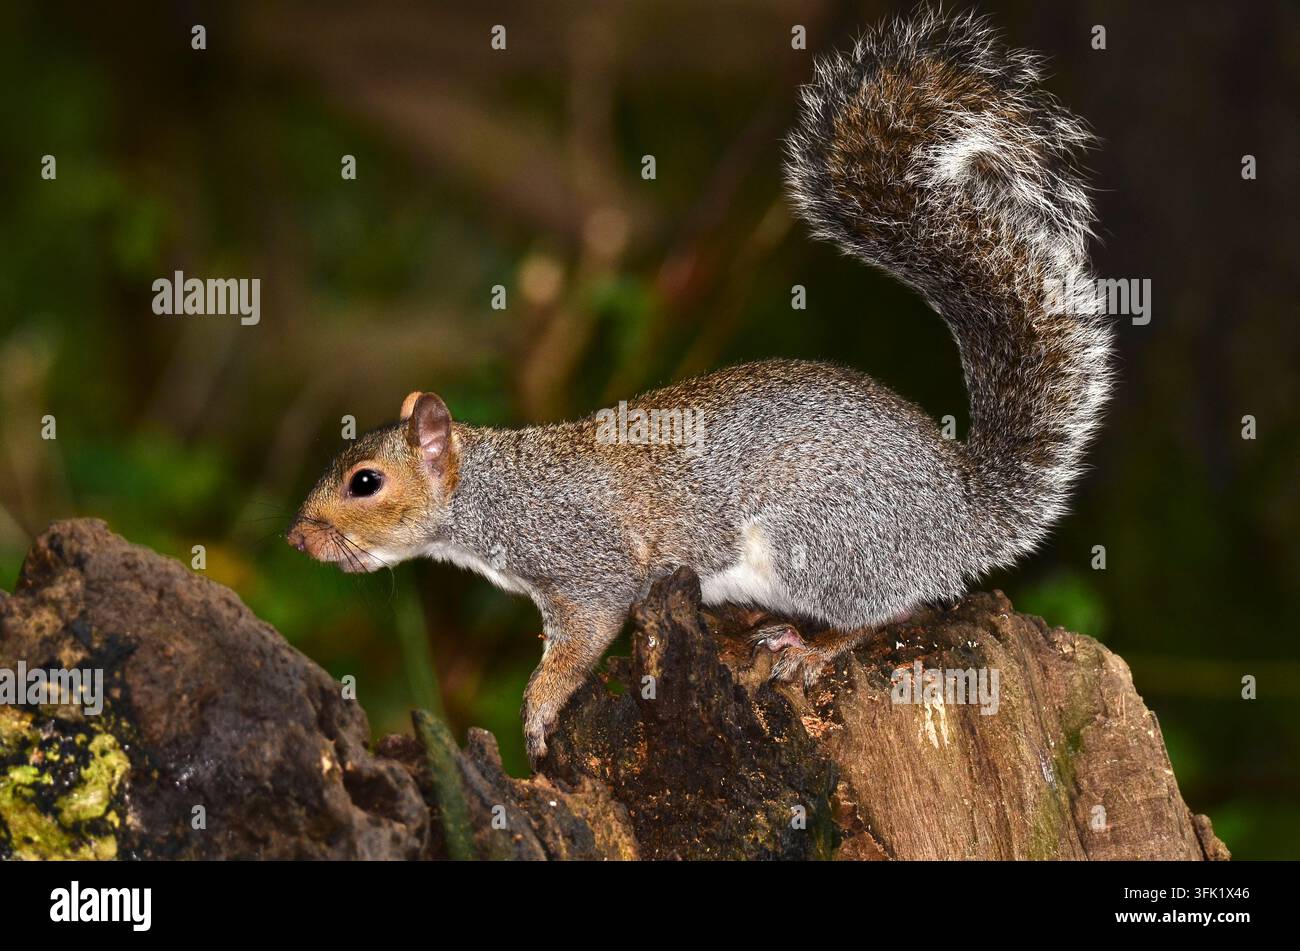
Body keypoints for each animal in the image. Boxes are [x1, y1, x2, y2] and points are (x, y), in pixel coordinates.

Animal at [287, 9, 1112, 763]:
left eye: (365, 481)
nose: (298, 536)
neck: (497, 489)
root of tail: (963, 512)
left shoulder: (589, 565)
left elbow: (581, 640)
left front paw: (541, 709)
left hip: (824, 538)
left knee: (888, 610)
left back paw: (813, 646)